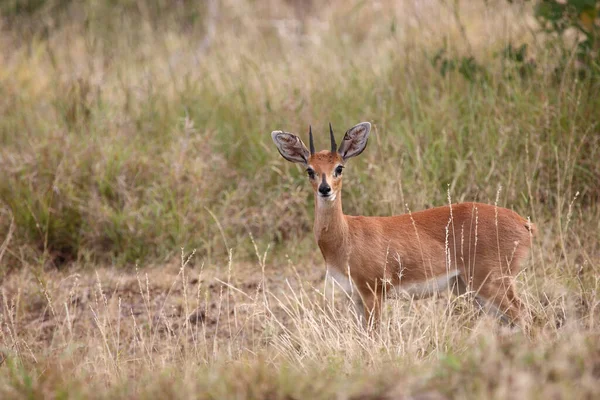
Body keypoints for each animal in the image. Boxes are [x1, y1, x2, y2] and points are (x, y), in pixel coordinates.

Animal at [270, 122, 536, 328]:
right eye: (309, 170)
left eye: (339, 167)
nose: (325, 189)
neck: (345, 237)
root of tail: (525, 224)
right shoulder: (356, 296)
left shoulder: (373, 292)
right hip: (472, 288)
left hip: (491, 282)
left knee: (526, 316)